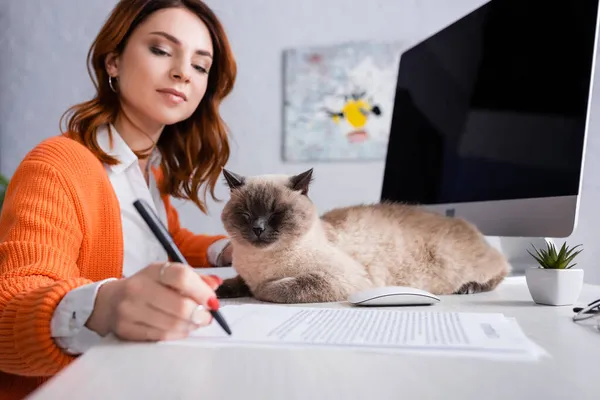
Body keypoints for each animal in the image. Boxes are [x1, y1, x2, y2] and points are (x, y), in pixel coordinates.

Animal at [216, 168, 510, 304]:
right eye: (245, 214)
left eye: (277, 213)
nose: (258, 228)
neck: (260, 265)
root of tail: (461, 220)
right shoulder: (245, 275)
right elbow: (235, 283)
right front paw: (219, 291)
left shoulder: (340, 278)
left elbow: (278, 288)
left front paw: (259, 291)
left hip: (456, 264)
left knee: (501, 268)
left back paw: (470, 287)